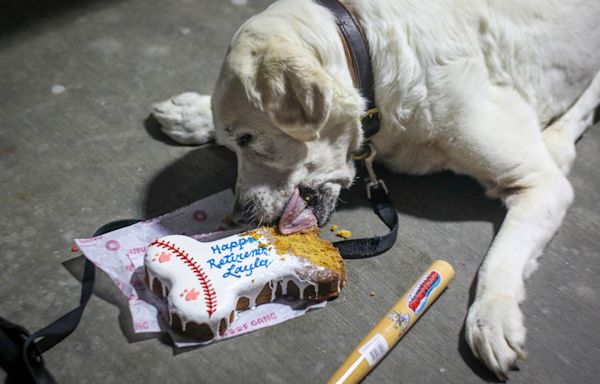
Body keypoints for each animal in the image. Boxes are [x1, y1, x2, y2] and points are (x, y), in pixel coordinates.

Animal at [154, 0, 600, 378]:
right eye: (233, 144)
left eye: (248, 138)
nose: (243, 213)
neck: (374, 60)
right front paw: (193, 113)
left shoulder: (541, 184)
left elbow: (499, 260)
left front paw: (492, 317)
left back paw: (558, 141)